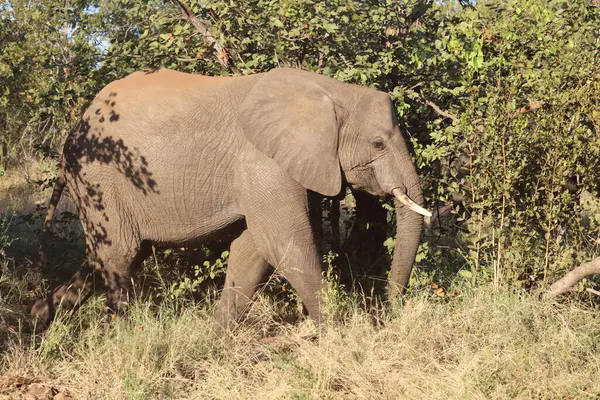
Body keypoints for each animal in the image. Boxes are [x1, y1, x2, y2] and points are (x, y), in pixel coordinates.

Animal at [30, 67, 428, 330]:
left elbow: (252, 250)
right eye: (378, 143)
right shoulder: (264, 163)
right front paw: (345, 335)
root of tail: (73, 132)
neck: (332, 92)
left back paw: (38, 321)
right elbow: (286, 245)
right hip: (99, 177)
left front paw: (216, 336)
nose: (387, 309)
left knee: (111, 254)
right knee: (120, 255)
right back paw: (124, 334)